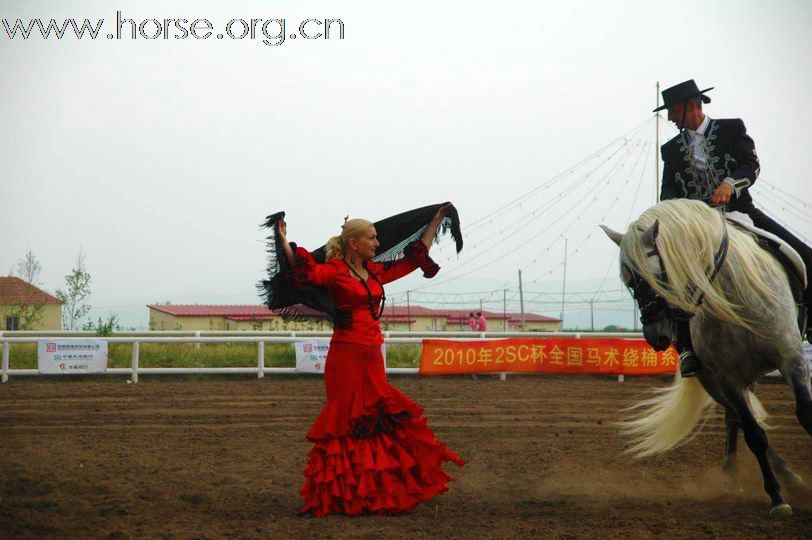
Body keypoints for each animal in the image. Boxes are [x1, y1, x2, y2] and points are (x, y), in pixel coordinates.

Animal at [600, 198, 808, 520]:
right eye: (630, 283)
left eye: (656, 275)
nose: (655, 336)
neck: (734, 296)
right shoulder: (727, 378)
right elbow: (755, 435)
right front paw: (776, 497)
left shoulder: (791, 357)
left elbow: (806, 415)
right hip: (716, 382)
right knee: (737, 420)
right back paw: (742, 476)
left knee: (735, 419)